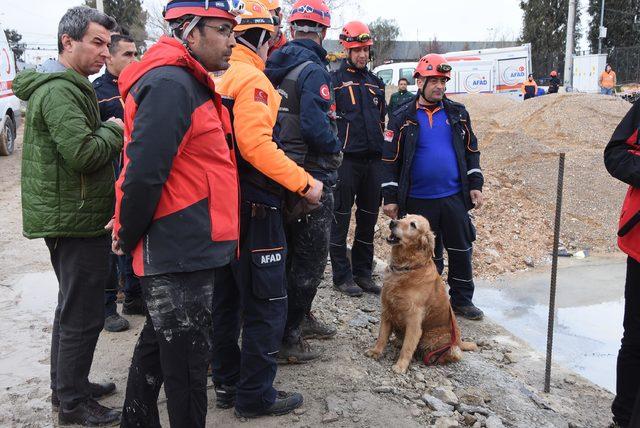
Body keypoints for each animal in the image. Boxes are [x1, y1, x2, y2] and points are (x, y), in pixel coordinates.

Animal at [364, 216, 476, 372]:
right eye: (404, 216)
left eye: (413, 225)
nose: (392, 222)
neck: (407, 268)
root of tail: (459, 342)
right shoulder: (387, 310)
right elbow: (382, 336)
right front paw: (376, 351)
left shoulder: (414, 321)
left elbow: (407, 347)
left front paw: (401, 366)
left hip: (437, 339)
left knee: (453, 354)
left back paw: (433, 358)